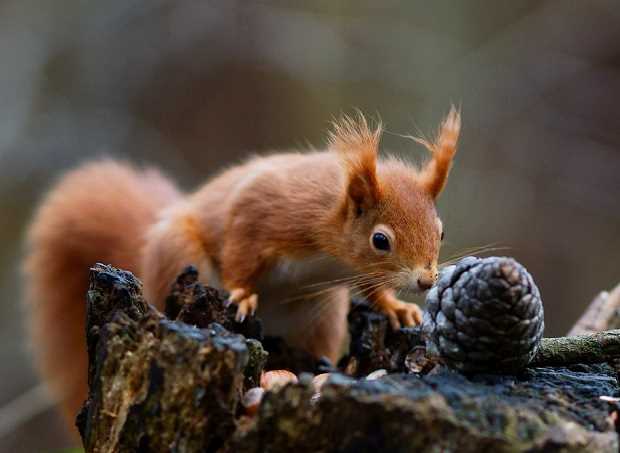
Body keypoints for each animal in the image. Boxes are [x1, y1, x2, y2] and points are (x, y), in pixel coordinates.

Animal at [23, 107, 460, 426]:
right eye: (380, 240)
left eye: (441, 232)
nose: (426, 280)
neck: (331, 245)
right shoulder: (263, 213)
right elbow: (239, 250)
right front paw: (241, 294)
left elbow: (373, 289)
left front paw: (396, 307)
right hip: (180, 255)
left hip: (320, 316)